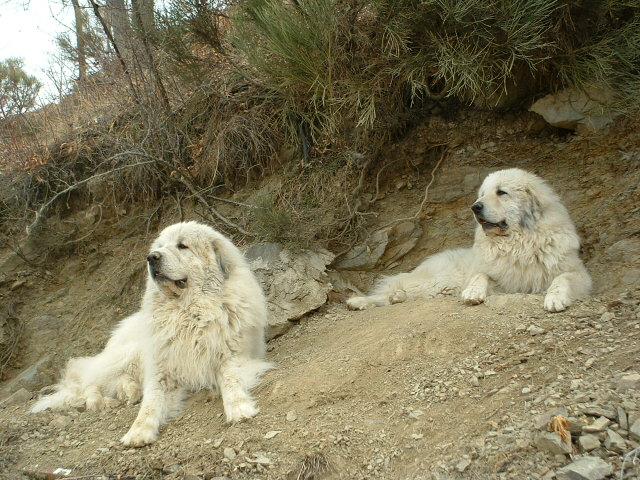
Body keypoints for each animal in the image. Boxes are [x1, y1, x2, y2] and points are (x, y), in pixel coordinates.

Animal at [31, 221, 272, 446]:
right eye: (160, 247)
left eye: (182, 245)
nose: (152, 257)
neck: (186, 312)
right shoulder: (160, 369)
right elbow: (150, 403)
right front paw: (138, 431)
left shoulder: (232, 357)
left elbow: (231, 381)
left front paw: (238, 408)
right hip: (129, 353)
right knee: (90, 382)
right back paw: (105, 400)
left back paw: (128, 391)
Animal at [348, 168, 592, 312]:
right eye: (482, 194)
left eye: (501, 192)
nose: (475, 207)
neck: (517, 242)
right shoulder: (495, 275)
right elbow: (480, 276)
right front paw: (473, 292)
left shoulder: (578, 273)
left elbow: (562, 278)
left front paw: (555, 298)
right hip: (441, 281)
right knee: (390, 290)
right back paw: (360, 301)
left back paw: (393, 299)